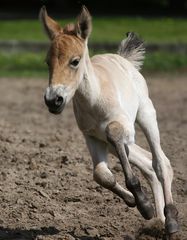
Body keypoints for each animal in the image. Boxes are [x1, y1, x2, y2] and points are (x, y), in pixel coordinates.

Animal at [39, 5, 178, 238]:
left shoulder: (124, 128)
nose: (53, 100)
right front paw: (141, 204)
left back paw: (171, 220)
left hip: (146, 115)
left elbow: (114, 133)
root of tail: (123, 59)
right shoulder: (92, 137)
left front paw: (143, 202)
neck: (95, 99)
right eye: (48, 62)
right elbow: (101, 175)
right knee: (147, 163)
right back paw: (157, 220)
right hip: (116, 145)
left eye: (74, 61)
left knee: (161, 163)